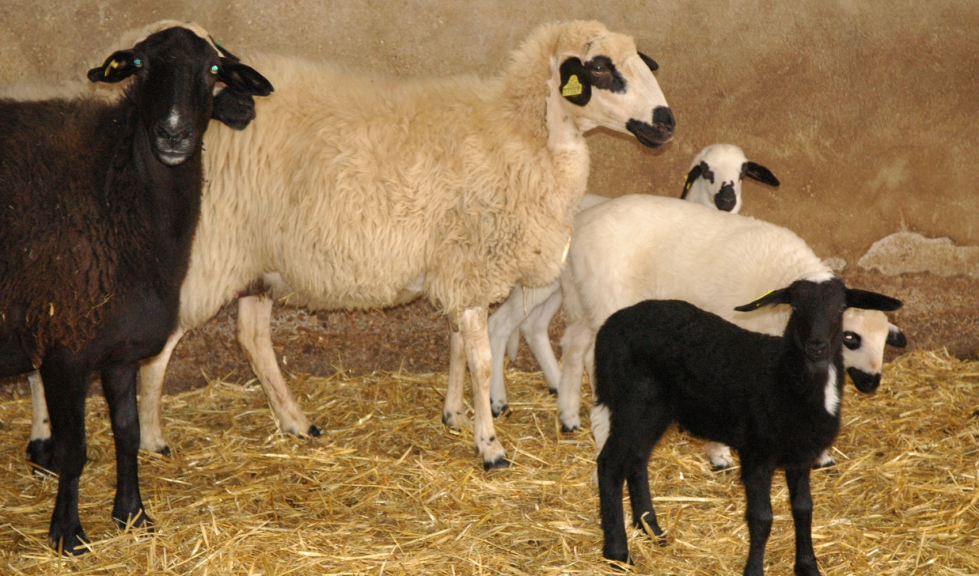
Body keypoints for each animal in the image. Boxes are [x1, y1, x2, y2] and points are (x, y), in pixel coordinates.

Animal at [0, 24, 272, 556]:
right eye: (141, 65)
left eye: (213, 69)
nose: (173, 133)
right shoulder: (65, 348)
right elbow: (75, 450)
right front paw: (68, 535)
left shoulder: (122, 350)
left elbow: (126, 433)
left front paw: (132, 515)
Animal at [28, 21, 672, 472]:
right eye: (600, 68)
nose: (666, 121)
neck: (520, 134)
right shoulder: (467, 264)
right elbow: (483, 355)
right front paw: (489, 445)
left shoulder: (453, 265)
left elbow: (458, 347)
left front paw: (454, 413)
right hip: (204, 256)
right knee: (154, 348)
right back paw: (151, 438)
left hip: (258, 259)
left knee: (251, 338)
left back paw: (295, 423)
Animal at [588, 276, 904, 576]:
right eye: (796, 307)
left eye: (840, 308)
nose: (816, 346)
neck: (786, 378)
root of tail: (610, 326)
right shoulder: (757, 455)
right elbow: (761, 518)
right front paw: (754, 570)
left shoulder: (800, 456)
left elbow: (804, 509)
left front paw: (808, 567)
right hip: (633, 402)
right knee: (610, 464)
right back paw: (618, 553)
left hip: (654, 411)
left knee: (637, 459)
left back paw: (651, 529)